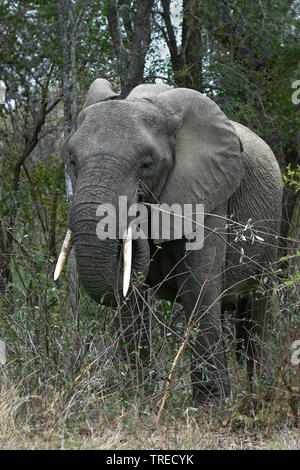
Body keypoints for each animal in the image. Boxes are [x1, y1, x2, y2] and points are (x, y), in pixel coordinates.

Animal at [55, 79, 282, 402]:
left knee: (256, 313)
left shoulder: (209, 194)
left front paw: (213, 405)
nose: (136, 212)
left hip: (274, 223)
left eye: (147, 164)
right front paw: (137, 399)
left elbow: (199, 288)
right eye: (72, 161)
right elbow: (129, 297)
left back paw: (257, 392)